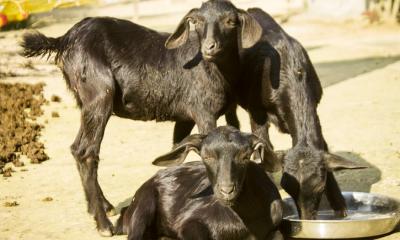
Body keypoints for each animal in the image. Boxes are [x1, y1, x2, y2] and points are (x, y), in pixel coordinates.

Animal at [19, 0, 262, 236]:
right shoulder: (204, 112)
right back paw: (104, 224)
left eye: (231, 21)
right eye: (197, 21)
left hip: (84, 101)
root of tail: (65, 39)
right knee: (86, 151)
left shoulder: (187, 117)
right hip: (99, 93)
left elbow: (178, 149)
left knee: (76, 147)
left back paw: (103, 205)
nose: (210, 47)